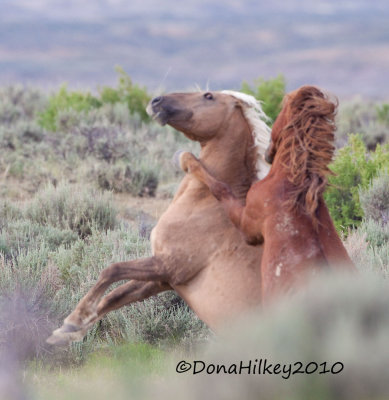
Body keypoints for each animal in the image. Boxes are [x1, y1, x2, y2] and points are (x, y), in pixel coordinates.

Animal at [47, 90, 272, 344]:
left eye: (208, 96)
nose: (156, 101)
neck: (208, 206)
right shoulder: (163, 278)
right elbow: (115, 296)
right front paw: (66, 332)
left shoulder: (169, 265)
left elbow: (112, 270)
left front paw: (74, 321)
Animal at [177, 85, 354, 304]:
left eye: (279, 112)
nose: (268, 151)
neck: (292, 186)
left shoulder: (247, 226)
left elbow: (221, 188)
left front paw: (189, 160)